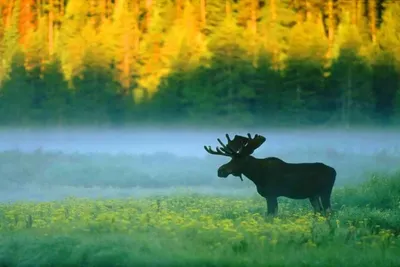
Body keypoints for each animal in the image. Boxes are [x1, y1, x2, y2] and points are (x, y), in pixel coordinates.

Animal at [205, 134, 336, 218]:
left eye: (239, 159)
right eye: (231, 159)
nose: (220, 171)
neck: (256, 175)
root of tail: (334, 171)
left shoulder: (271, 194)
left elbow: (271, 215)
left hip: (325, 191)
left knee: (328, 210)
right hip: (313, 195)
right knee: (319, 211)